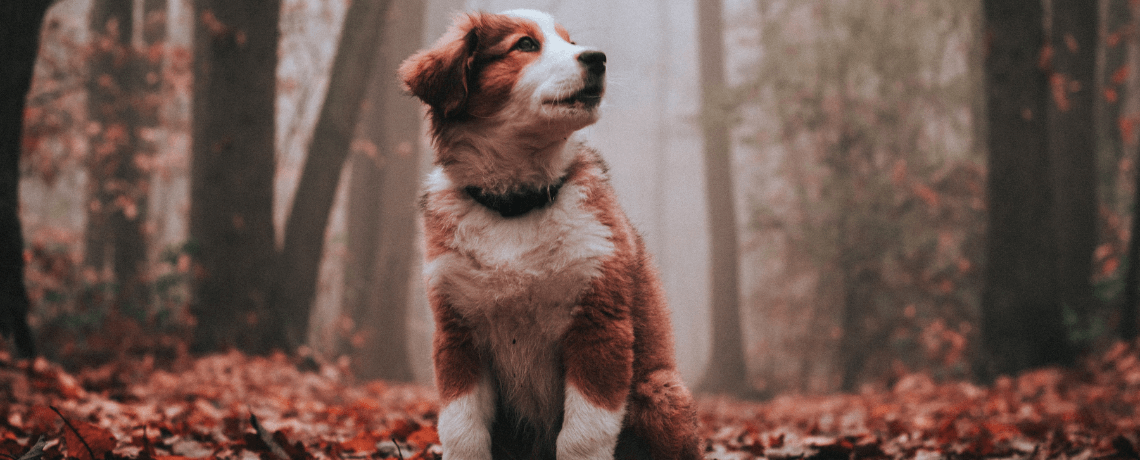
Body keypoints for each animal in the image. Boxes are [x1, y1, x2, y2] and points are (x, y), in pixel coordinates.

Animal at [401, 9, 702, 459]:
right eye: (525, 44)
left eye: (571, 42)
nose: (598, 58)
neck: (515, 204)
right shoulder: (457, 333)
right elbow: (462, 432)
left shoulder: (600, 325)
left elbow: (582, 436)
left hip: (658, 391)